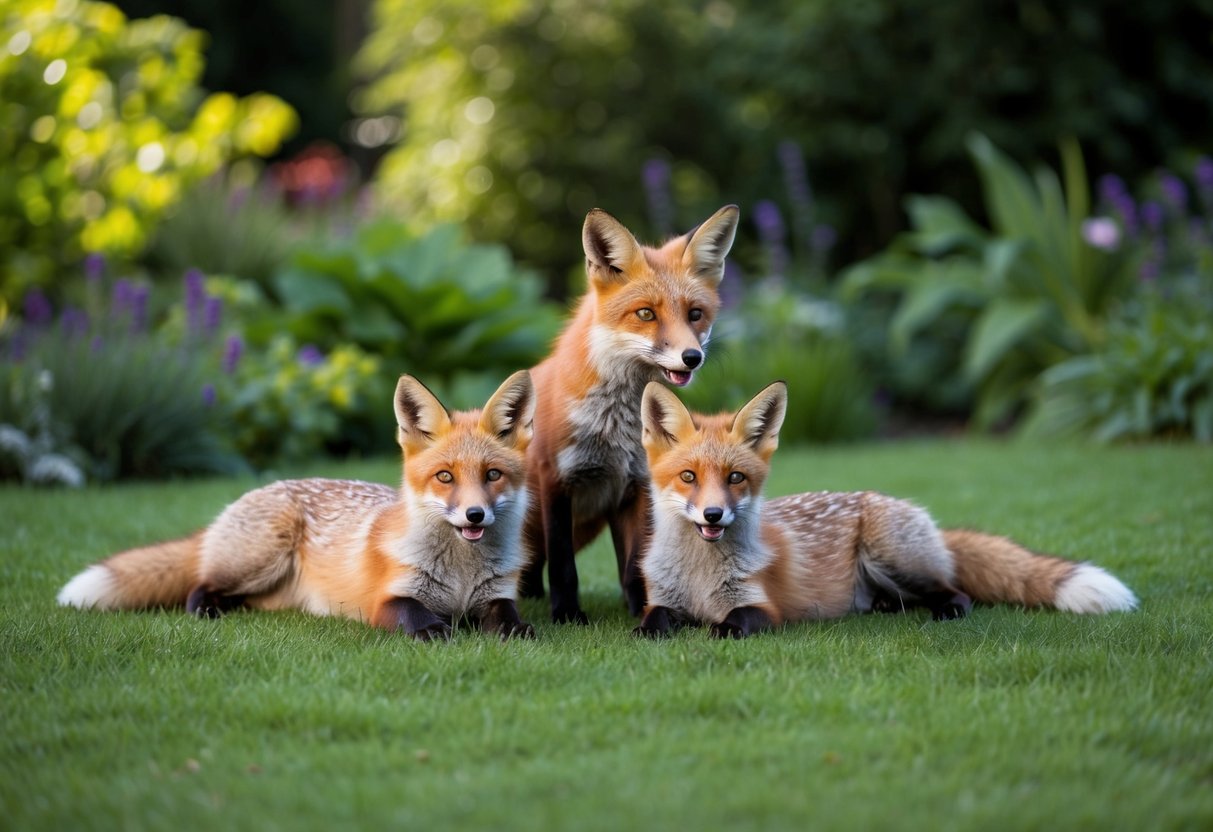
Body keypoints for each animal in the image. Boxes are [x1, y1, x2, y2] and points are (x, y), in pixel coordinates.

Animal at [56, 371, 537, 641]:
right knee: (197, 586)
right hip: (262, 556)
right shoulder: (385, 600)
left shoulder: (496, 594)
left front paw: (517, 630)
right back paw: (208, 609)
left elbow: (507, 616)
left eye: (492, 475)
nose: (474, 515)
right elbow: (412, 614)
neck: (460, 577)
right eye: (445, 477)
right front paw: (436, 629)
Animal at [522, 204, 740, 623]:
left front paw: (645, 610)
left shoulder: (637, 485)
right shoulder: (555, 479)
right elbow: (563, 567)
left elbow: (636, 564)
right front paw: (567, 614)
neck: (615, 426)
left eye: (695, 314)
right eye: (645, 314)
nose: (693, 357)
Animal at [634, 380, 1139, 638]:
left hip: (890, 555)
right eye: (689, 477)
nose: (713, 516)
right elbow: (651, 622)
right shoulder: (664, 599)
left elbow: (733, 624)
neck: (701, 580)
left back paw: (944, 612)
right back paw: (880, 606)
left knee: (956, 592)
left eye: (735, 478)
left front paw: (714, 631)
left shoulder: (764, 607)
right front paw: (650, 634)